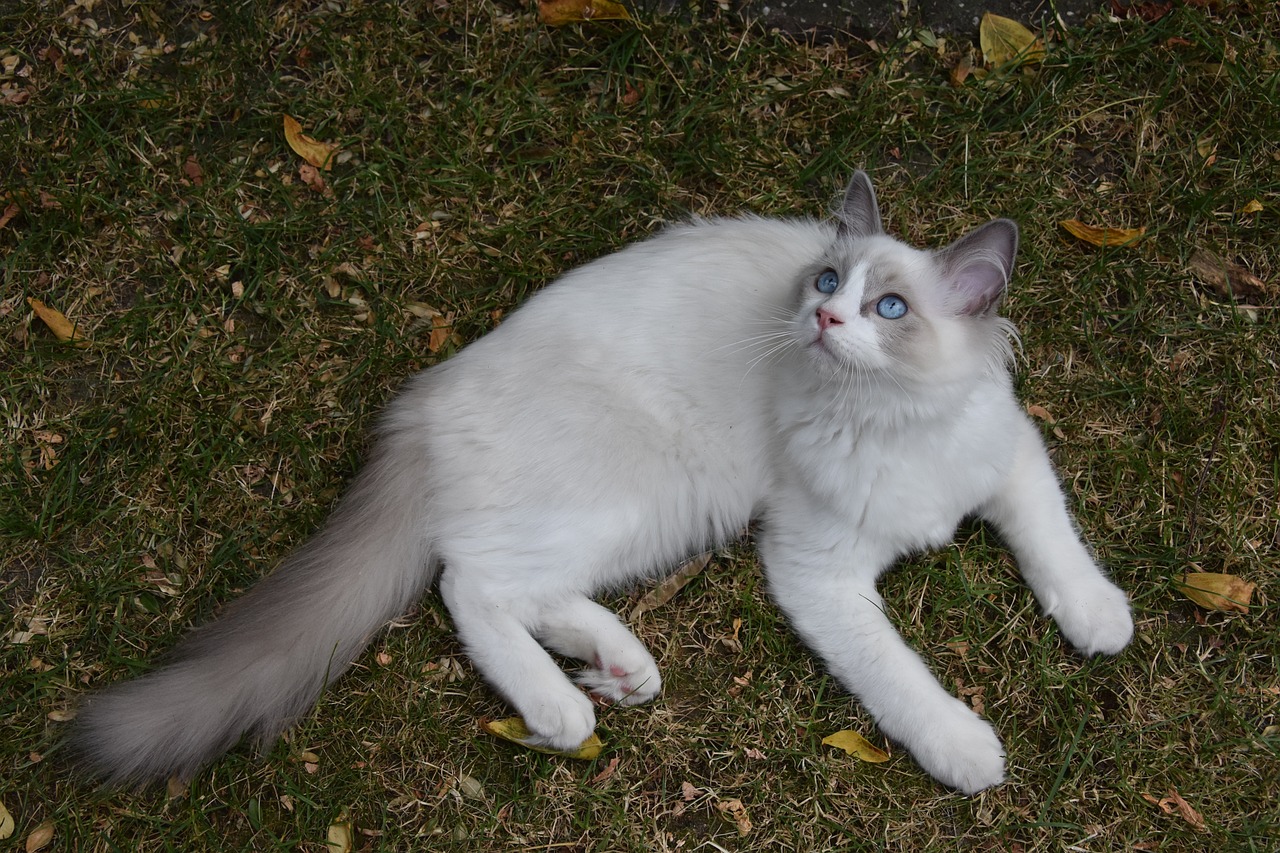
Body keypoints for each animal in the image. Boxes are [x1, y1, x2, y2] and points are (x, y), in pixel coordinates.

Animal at [67, 171, 1131, 788]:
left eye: (891, 307)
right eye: (829, 284)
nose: (826, 321)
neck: (890, 419)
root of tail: (421, 403)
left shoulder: (1007, 454)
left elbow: (1055, 543)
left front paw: (1099, 618)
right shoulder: (817, 571)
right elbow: (901, 676)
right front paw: (966, 749)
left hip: (650, 518)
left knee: (518, 586)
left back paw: (617, 667)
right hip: (651, 491)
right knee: (470, 582)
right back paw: (563, 706)